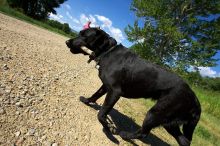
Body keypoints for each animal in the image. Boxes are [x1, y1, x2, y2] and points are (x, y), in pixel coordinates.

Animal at [65, 28, 201, 145]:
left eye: (84, 35)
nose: (67, 42)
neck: (107, 52)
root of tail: (194, 99)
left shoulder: (114, 91)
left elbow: (101, 113)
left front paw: (108, 128)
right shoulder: (106, 86)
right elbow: (95, 95)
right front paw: (86, 100)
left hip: (156, 113)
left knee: (143, 133)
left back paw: (124, 135)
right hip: (169, 122)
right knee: (184, 141)